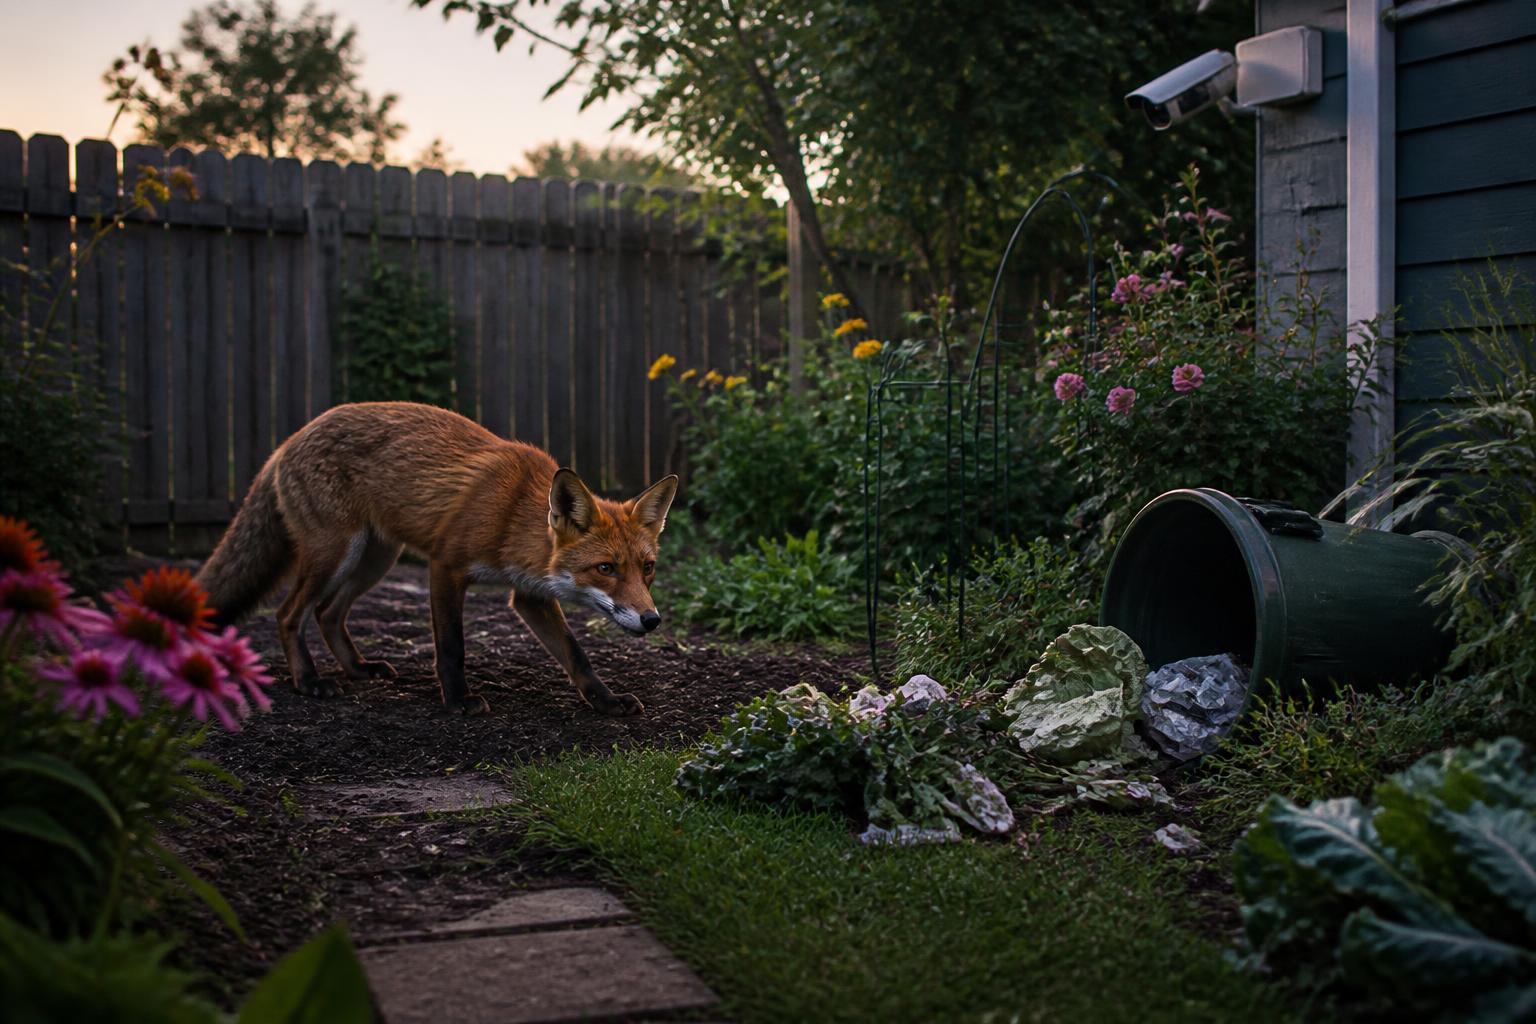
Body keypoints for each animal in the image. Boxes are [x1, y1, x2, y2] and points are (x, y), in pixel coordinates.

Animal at [195, 401, 678, 717]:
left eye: (647, 568)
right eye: (606, 569)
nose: (652, 620)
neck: (513, 515)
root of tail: (288, 440)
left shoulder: (530, 596)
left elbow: (576, 655)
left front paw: (606, 701)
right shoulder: (446, 567)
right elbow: (451, 645)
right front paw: (458, 700)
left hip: (375, 559)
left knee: (327, 613)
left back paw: (358, 668)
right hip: (335, 554)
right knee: (288, 612)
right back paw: (309, 680)